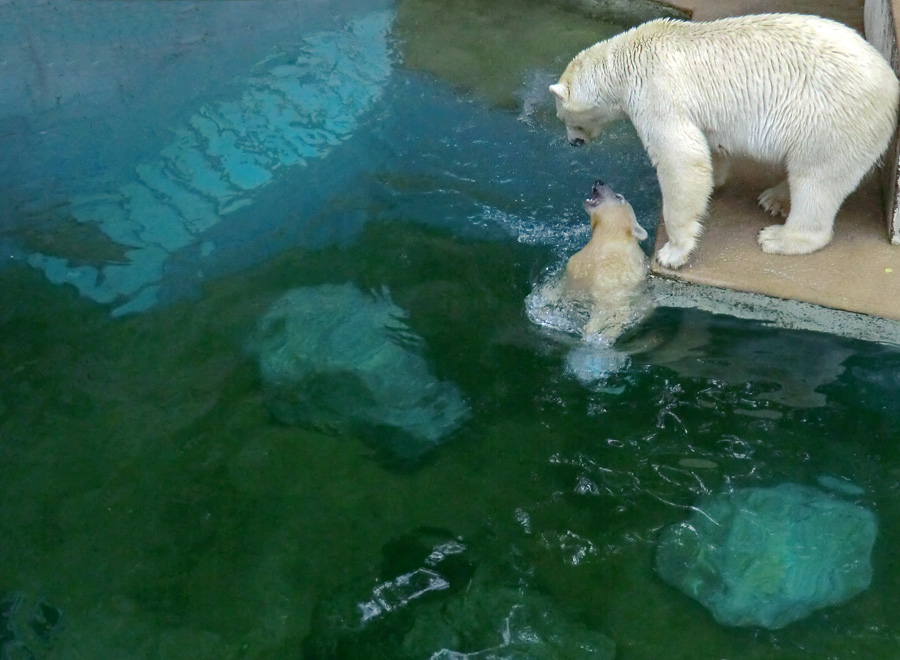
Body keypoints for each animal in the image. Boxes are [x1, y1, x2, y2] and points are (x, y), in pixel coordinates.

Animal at [548, 12, 900, 266]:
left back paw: (778, 237)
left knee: (817, 179)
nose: (573, 142)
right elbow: (706, 150)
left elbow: (681, 158)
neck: (626, 61)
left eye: (563, 118)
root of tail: (892, 85)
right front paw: (714, 182)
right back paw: (775, 198)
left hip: (832, 120)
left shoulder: (656, 92)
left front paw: (673, 251)